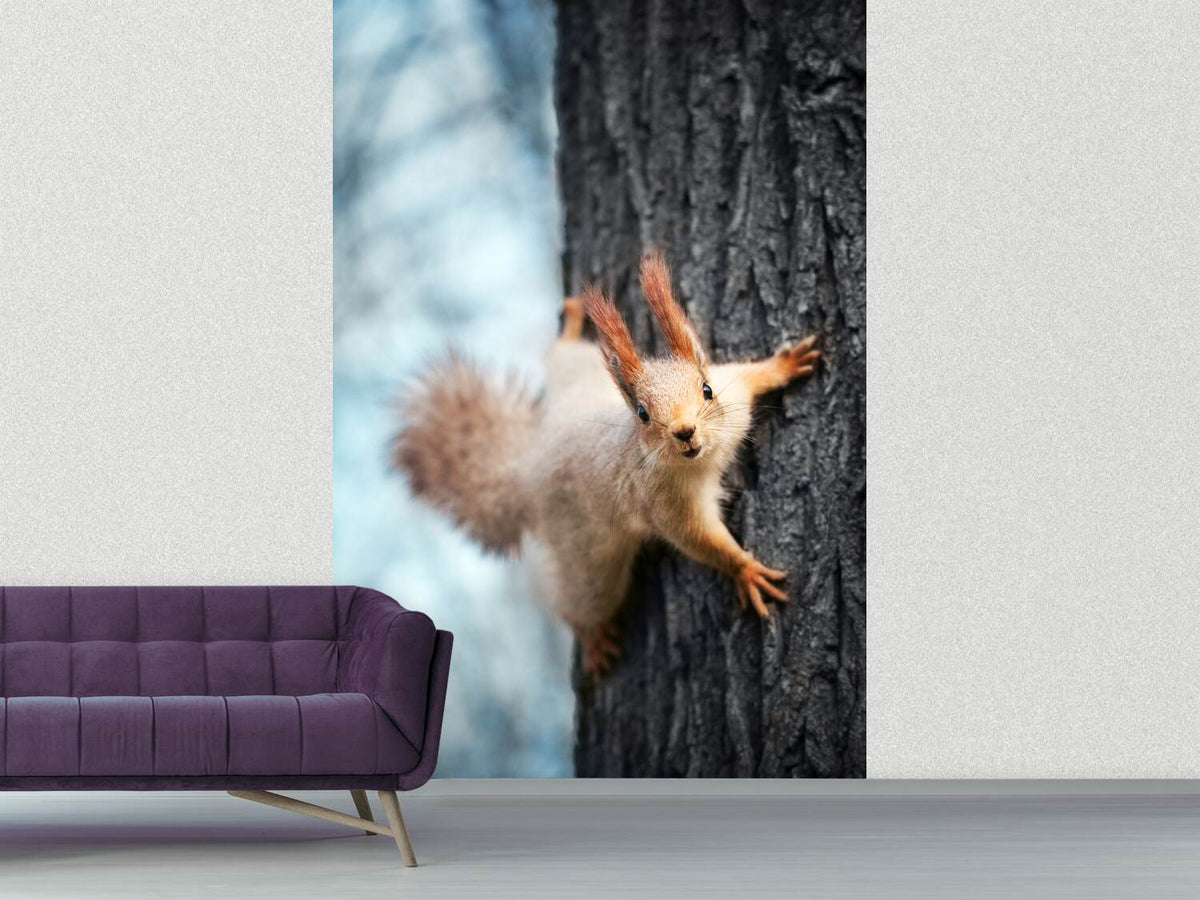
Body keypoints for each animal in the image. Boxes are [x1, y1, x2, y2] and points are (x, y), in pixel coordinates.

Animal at [394, 252, 820, 676]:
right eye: (643, 414)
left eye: (706, 390)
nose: (685, 431)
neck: (704, 458)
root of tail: (529, 470)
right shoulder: (665, 504)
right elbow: (699, 539)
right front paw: (744, 570)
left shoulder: (735, 398)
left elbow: (752, 376)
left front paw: (784, 364)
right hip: (588, 563)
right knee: (578, 603)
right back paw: (592, 639)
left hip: (575, 374)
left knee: (559, 355)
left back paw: (570, 324)